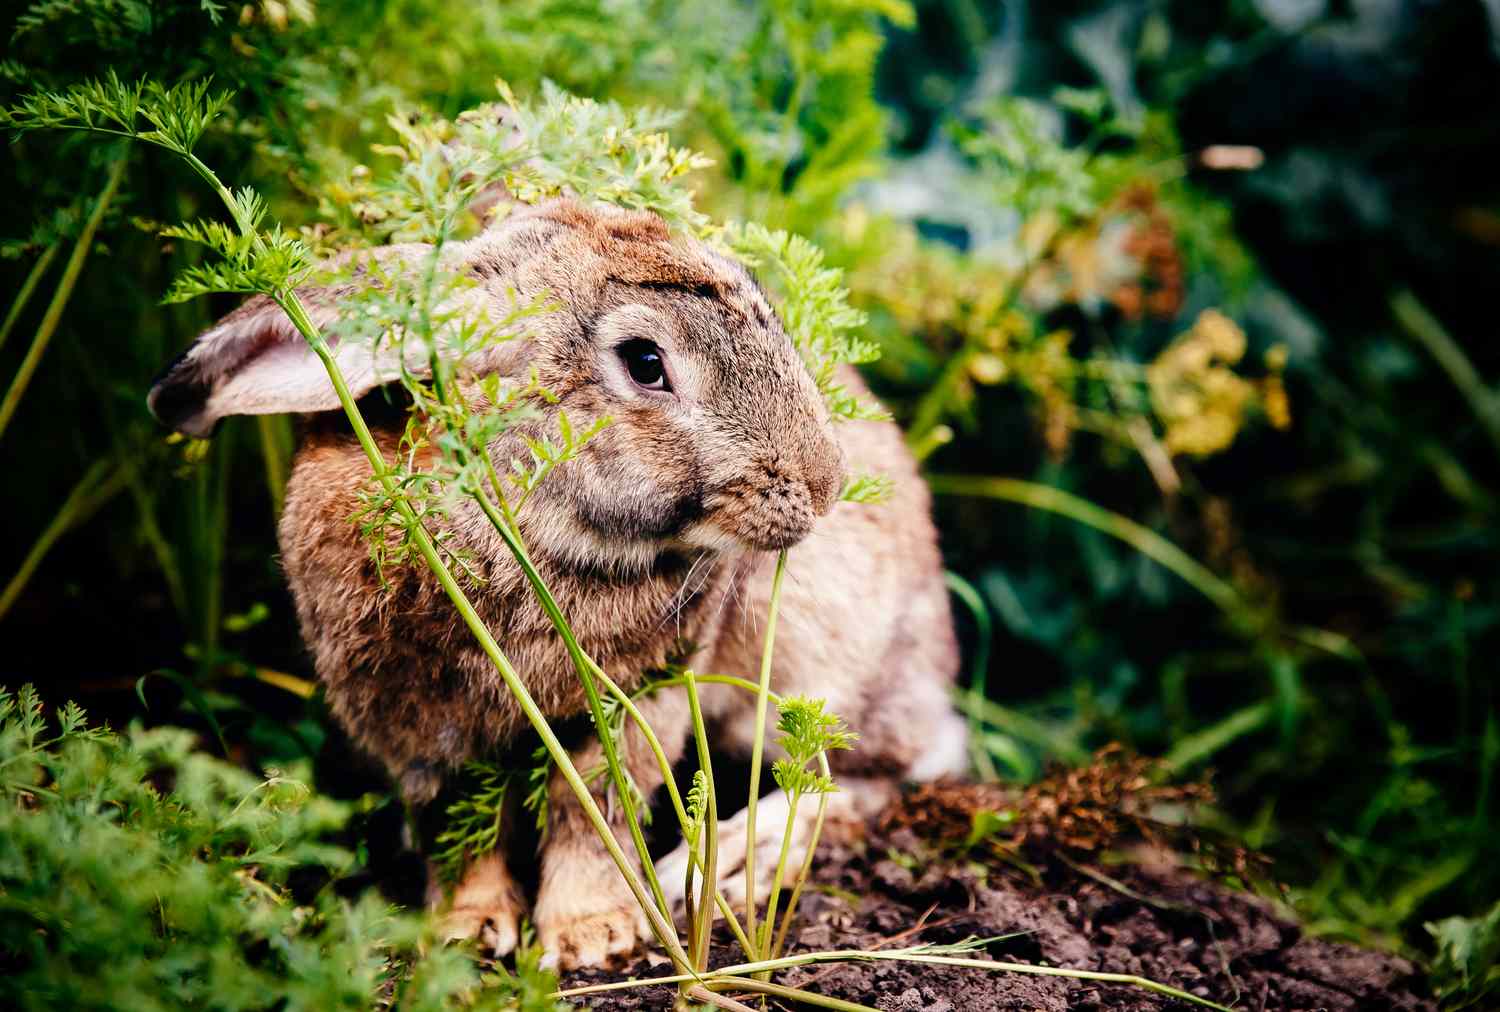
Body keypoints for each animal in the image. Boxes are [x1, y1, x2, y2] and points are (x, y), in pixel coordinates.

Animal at [147, 198, 967, 969]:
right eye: (645, 361)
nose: (825, 481)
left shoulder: (639, 699)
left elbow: (595, 808)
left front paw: (589, 937)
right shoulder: (415, 726)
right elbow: (455, 827)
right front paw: (467, 932)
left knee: (849, 779)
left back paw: (731, 863)